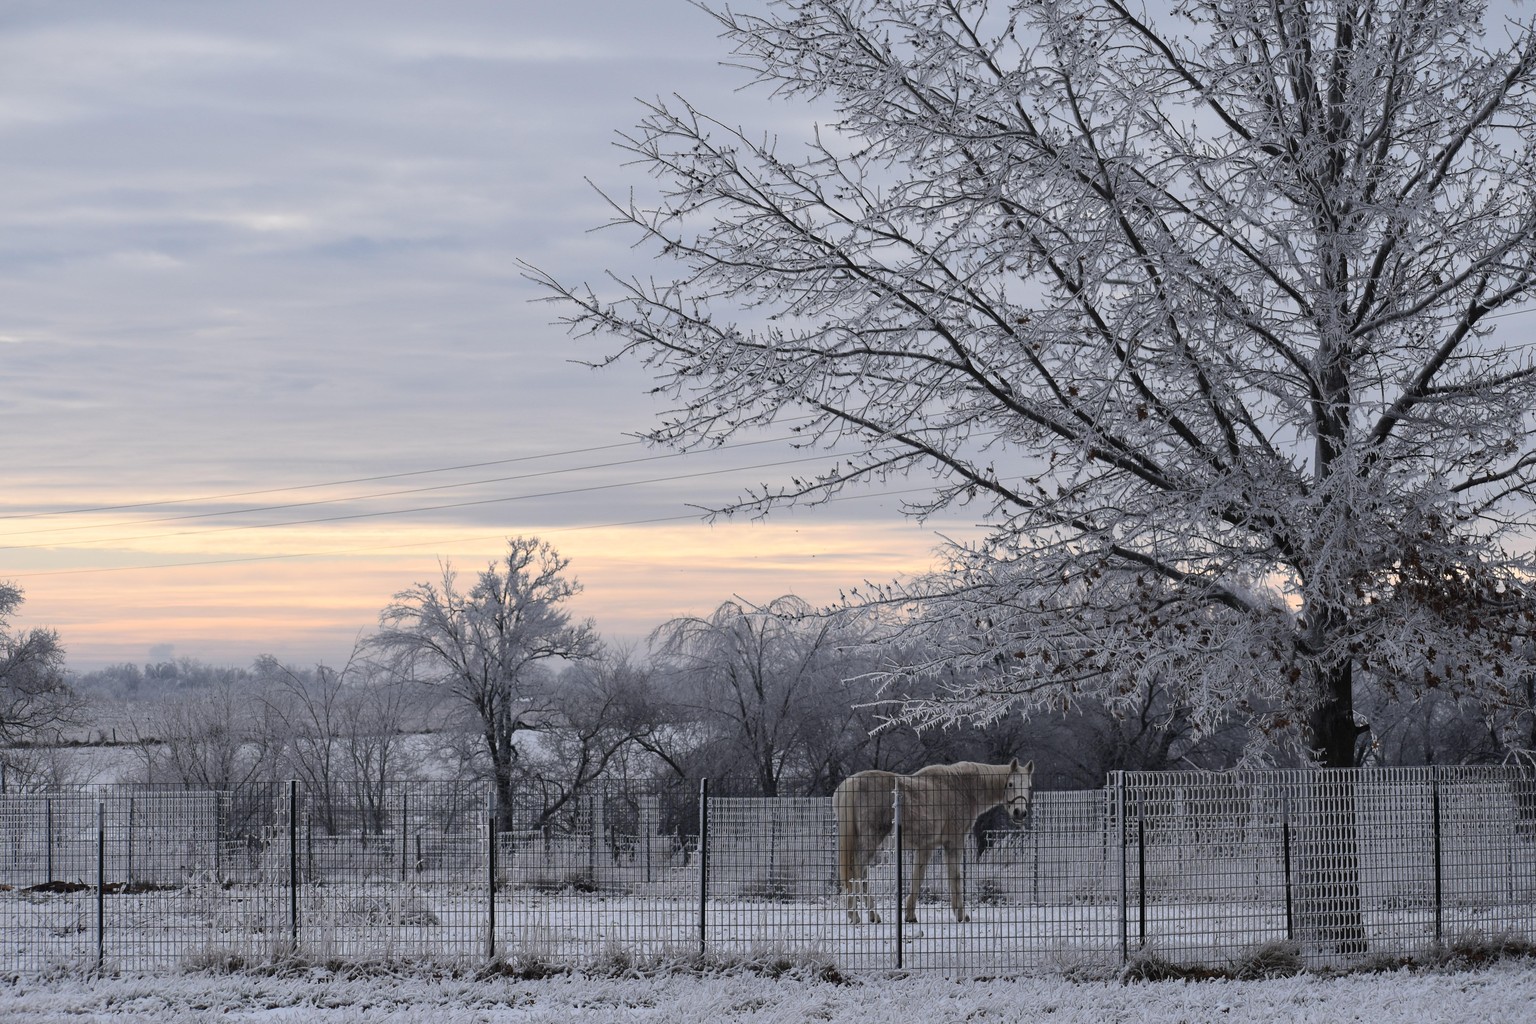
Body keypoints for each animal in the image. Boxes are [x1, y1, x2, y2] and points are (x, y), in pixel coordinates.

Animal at [834, 759, 1034, 925]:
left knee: (860, 873)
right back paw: (857, 915)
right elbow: (955, 876)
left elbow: (917, 877)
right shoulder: (953, 843)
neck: (961, 788)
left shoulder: (926, 847)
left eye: (1029, 787)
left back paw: (869, 915)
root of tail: (851, 783)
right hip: (871, 841)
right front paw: (961, 915)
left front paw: (910, 915)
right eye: (1010, 784)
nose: (1020, 813)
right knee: (857, 870)